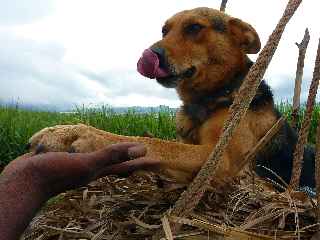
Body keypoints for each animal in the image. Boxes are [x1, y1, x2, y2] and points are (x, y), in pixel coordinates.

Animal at [28, 7, 316, 188]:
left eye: (194, 28)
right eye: (164, 30)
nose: (149, 56)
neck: (211, 97)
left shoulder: (220, 161)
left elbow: (154, 143)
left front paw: (82, 135)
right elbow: (159, 150)